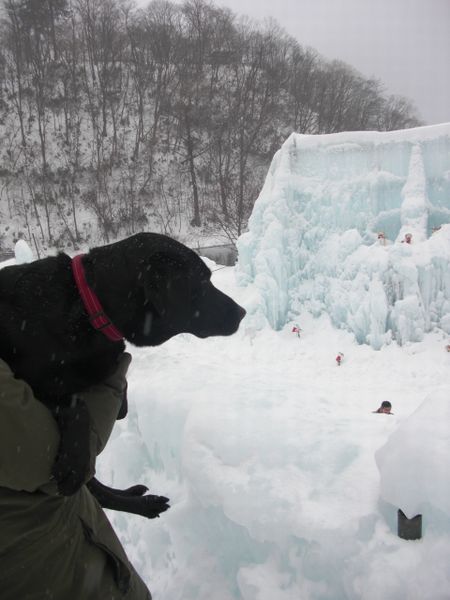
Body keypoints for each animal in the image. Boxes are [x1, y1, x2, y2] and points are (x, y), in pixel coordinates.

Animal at [0, 232, 246, 516]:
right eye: (202, 280)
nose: (242, 312)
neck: (87, 306)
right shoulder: (28, 383)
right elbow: (76, 404)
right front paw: (74, 464)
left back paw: (139, 499)